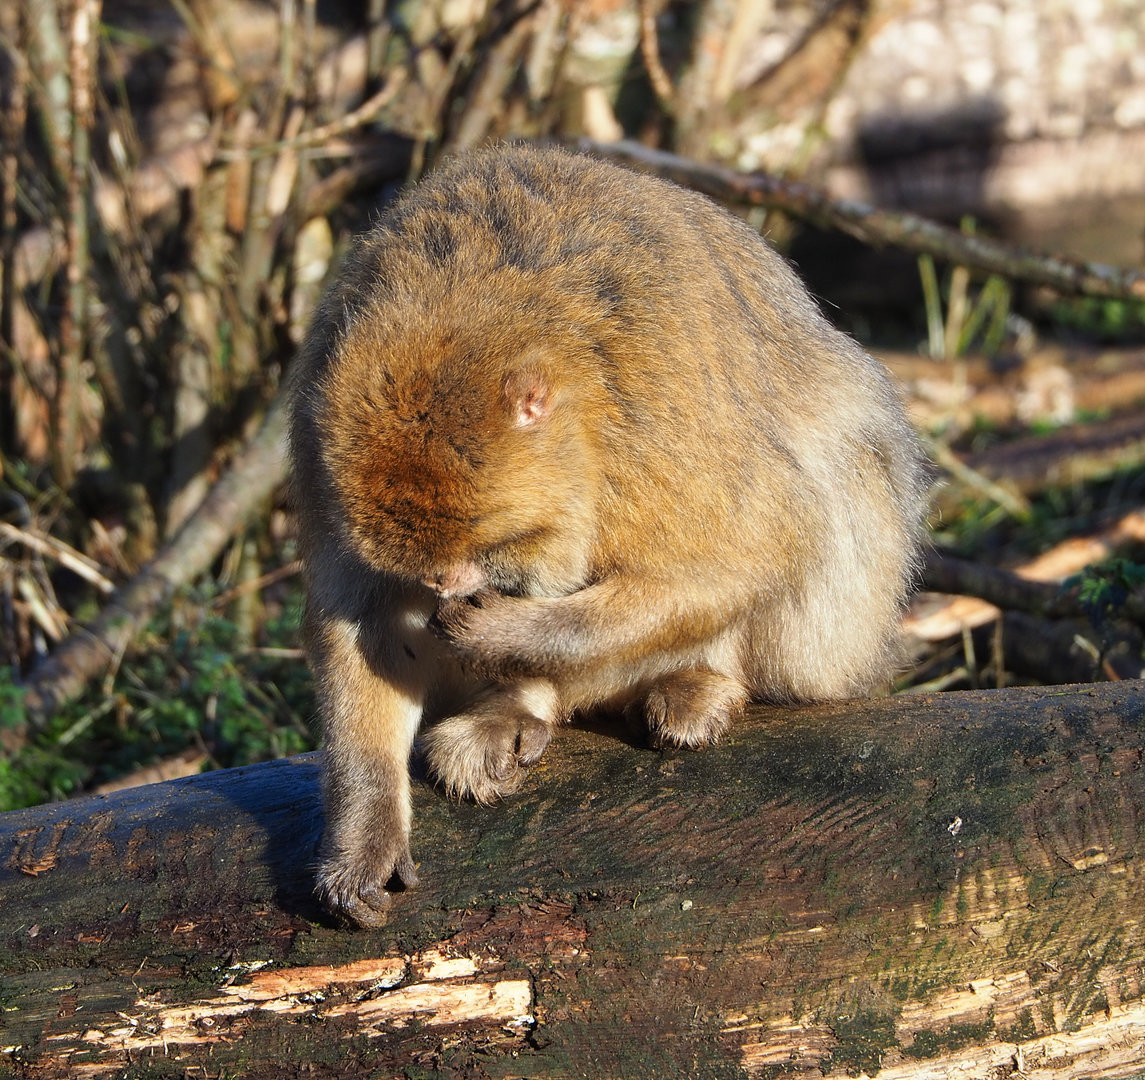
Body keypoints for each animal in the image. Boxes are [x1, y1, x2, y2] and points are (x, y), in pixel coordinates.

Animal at [288, 145, 928, 927]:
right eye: (427, 569)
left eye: (492, 548)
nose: (448, 587)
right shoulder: (320, 453)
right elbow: (367, 622)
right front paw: (366, 827)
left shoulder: (657, 418)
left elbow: (749, 556)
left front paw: (508, 635)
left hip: (830, 647)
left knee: (843, 474)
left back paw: (684, 684)